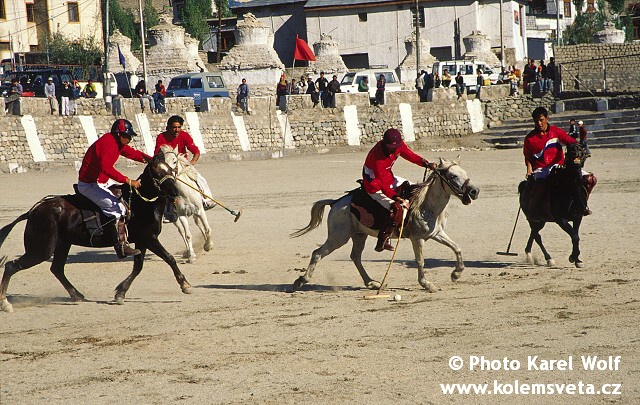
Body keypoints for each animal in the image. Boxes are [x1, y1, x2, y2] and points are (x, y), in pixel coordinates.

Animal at [0, 153, 191, 310]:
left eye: (171, 170)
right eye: (156, 172)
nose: (175, 191)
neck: (141, 203)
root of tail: (34, 211)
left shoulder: (142, 241)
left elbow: (138, 267)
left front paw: (120, 293)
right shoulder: (149, 238)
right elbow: (169, 258)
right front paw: (185, 285)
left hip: (62, 244)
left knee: (57, 269)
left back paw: (76, 294)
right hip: (41, 250)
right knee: (11, 266)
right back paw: (5, 302)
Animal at [290, 156, 480, 292]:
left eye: (464, 172)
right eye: (453, 175)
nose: (474, 191)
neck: (426, 205)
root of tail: (336, 202)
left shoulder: (436, 234)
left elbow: (457, 248)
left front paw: (456, 274)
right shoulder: (417, 239)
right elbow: (420, 261)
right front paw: (427, 284)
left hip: (359, 235)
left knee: (355, 257)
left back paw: (372, 283)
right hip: (338, 237)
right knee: (317, 253)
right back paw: (300, 281)